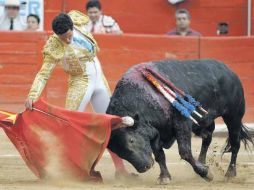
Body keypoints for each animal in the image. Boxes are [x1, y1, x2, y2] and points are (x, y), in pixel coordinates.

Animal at [106, 59, 253, 184]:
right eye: (118, 152)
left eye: (131, 140)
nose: (144, 167)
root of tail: (228, 70)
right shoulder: (156, 131)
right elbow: (159, 155)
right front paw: (165, 177)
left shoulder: (182, 123)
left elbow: (185, 151)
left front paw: (206, 173)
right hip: (203, 122)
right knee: (207, 138)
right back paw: (202, 163)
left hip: (233, 116)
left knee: (235, 143)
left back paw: (229, 173)